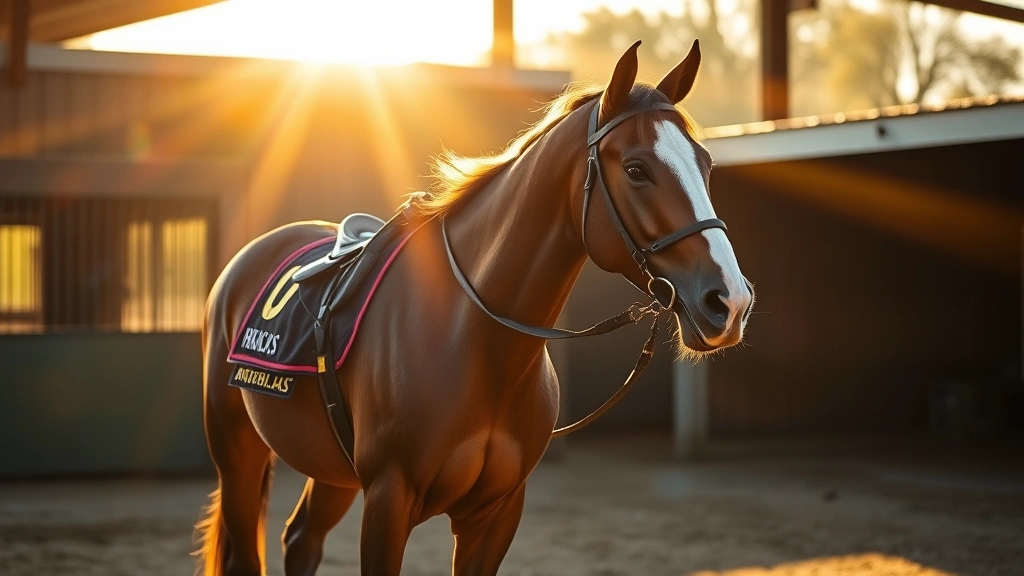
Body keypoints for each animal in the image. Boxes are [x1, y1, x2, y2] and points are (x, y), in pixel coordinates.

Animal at [196, 39, 753, 576]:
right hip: (237, 452)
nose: (730, 301)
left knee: (301, 541)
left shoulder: (496, 514)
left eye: (706, 165)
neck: (472, 342)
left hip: (332, 470)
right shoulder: (388, 500)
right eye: (637, 169)